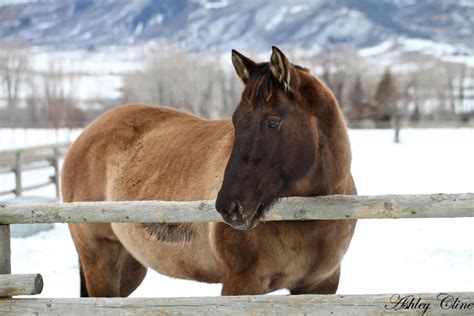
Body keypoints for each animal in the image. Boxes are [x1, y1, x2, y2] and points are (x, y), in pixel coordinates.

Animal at [63, 46, 358, 296]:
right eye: (235, 121)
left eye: (273, 122)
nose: (229, 207)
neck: (310, 218)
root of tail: (84, 137)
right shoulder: (241, 284)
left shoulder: (320, 285)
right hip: (101, 260)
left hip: (130, 267)